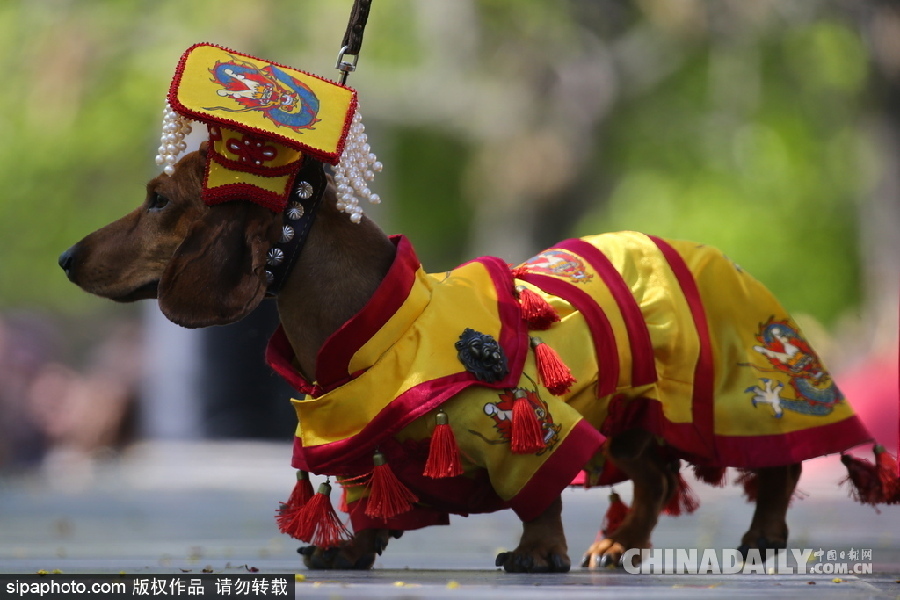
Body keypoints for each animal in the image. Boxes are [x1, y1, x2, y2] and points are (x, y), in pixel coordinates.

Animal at [59, 146, 856, 572]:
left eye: (158, 199)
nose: (66, 257)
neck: (387, 323)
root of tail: (708, 250)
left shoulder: (526, 426)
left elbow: (539, 494)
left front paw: (538, 552)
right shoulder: (368, 450)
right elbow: (367, 505)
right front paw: (350, 549)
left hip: (733, 396)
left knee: (780, 465)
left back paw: (764, 533)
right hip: (629, 424)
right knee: (657, 481)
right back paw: (619, 543)